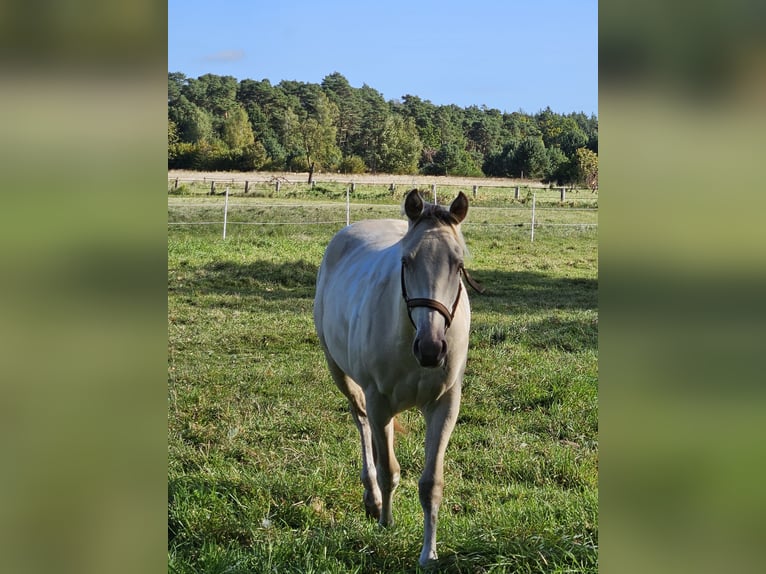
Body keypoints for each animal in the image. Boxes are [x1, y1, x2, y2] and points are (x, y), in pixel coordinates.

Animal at [316, 188, 476, 568]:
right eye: (406, 261)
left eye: (458, 264)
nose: (431, 349)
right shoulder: (378, 400)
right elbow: (388, 469)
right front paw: (386, 522)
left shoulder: (445, 405)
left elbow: (431, 483)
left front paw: (429, 553)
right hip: (343, 376)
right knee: (362, 424)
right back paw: (372, 498)